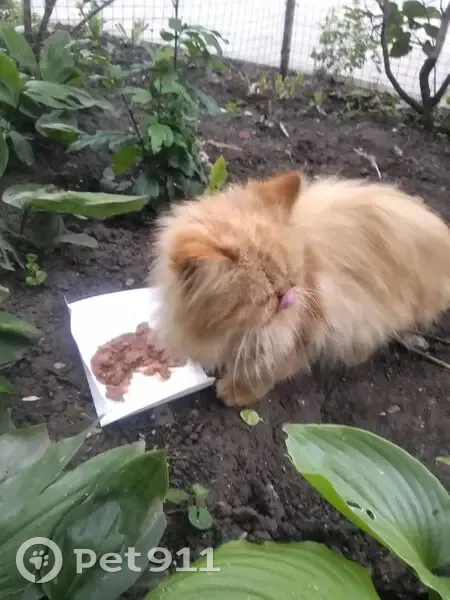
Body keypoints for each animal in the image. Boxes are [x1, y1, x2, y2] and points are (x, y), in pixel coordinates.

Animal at [150, 170, 450, 407]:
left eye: (292, 280)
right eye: (265, 298)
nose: (287, 298)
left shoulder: (307, 325)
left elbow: (269, 365)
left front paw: (238, 390)